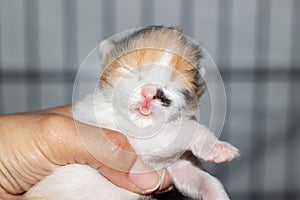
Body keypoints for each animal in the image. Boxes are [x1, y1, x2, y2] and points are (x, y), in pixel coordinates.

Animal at [23, 25, 239, 200]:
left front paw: (218, 152)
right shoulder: (131, 142)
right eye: (132, 71)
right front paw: (216, 146)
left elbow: (203, 180)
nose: (150, 93)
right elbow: (186, 127)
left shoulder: (176, 167)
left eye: (173, 86)